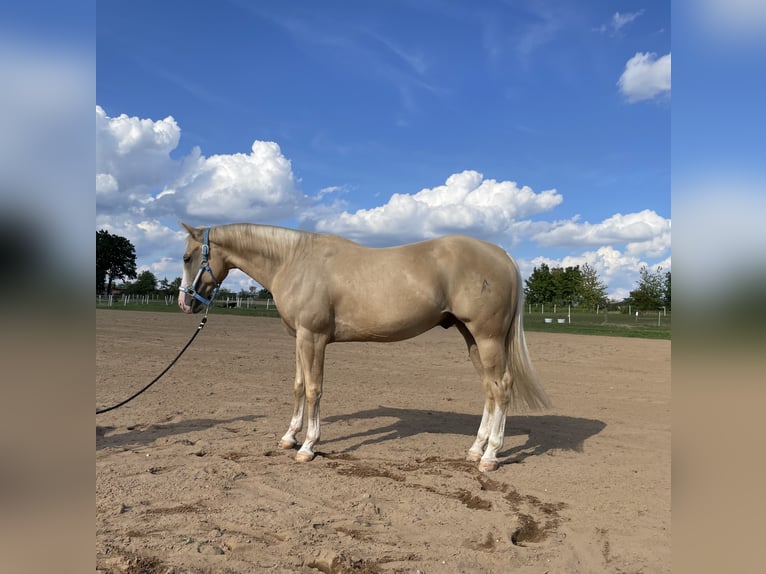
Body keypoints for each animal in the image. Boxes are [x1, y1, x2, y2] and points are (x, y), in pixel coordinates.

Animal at [178, 222, 551, 472]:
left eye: (187, 256)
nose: (185, 302)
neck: (294, 260)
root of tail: (501, 254)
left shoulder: (313, 337)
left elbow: (314, 389)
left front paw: (308, 446)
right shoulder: (298, 337)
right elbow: (298, 386)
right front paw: (289, 437)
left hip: (487, 338)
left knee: (502, 388)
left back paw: (490, 456)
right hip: (472, 338)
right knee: (489, 389)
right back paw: (476, 449)